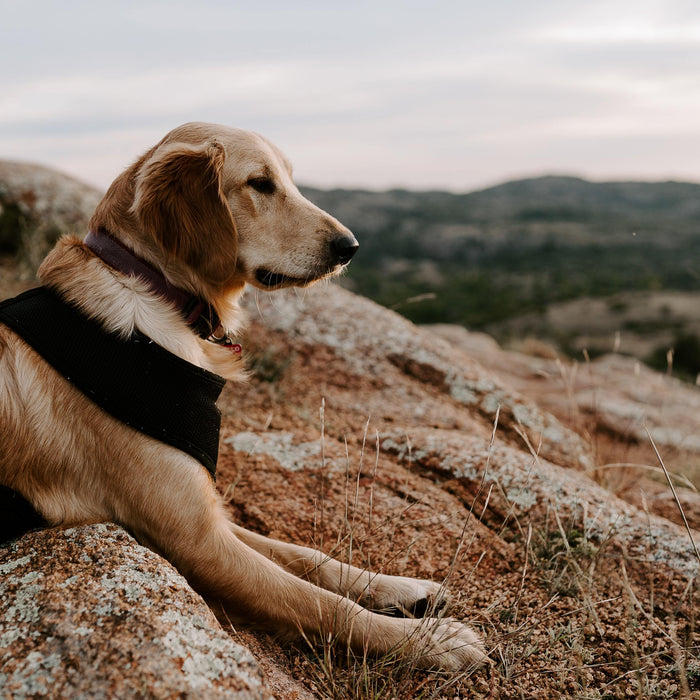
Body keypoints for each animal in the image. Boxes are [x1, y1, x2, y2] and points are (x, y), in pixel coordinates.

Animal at [0, 123, 486, 668]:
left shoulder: (208, 514)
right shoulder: (198, 542)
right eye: (259, 183)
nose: (350, 246)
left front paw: (399, 588)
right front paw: (429, 641)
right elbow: (319, 603)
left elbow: (310, 557)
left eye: (291, 179)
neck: (153, 289)